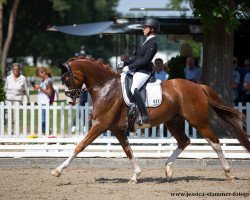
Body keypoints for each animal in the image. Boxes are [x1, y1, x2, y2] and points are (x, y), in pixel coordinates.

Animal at [51, 56, 250, 183]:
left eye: (67, 78)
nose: (70, 99)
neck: (106, 88)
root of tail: (197, 86)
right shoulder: (116, 129)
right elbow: (128, 151)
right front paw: (135, 176)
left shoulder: (100, 125)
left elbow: (80, 146)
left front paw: (58, 170)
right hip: (173, 121)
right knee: (184, 141)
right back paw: (168, 169)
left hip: (198, 121)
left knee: (215, 142)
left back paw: (228, 174)